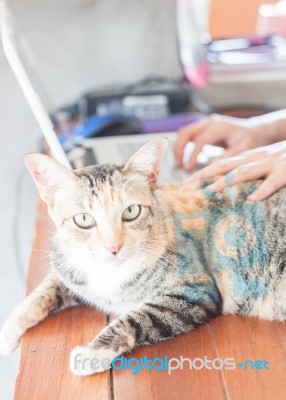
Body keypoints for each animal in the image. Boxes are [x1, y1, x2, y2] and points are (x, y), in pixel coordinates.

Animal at [0, 138, 286, 376]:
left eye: (131, 211)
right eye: (83, 219)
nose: (114, 246)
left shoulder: (195, 290)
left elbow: (137, 318)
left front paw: (91, 353)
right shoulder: (69, 267)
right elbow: (44, 290)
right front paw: (8, 331)